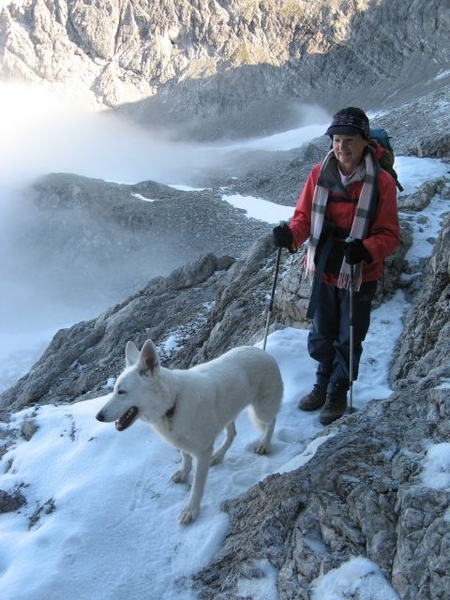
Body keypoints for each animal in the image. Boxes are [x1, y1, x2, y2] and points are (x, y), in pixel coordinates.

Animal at [96, 340, 284, 524]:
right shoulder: (182, 440)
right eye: (114, 390)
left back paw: (265, 444)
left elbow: (197, 486)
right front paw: (183, 473)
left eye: (121, 392)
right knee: (232, 434)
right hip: (228, 415)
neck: (172, 404)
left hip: (262, 411)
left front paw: (191, 510)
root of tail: (263, 352)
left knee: (272, 422)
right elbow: (185, 458)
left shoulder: (202, 452)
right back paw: (218, 455)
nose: (98, 416)